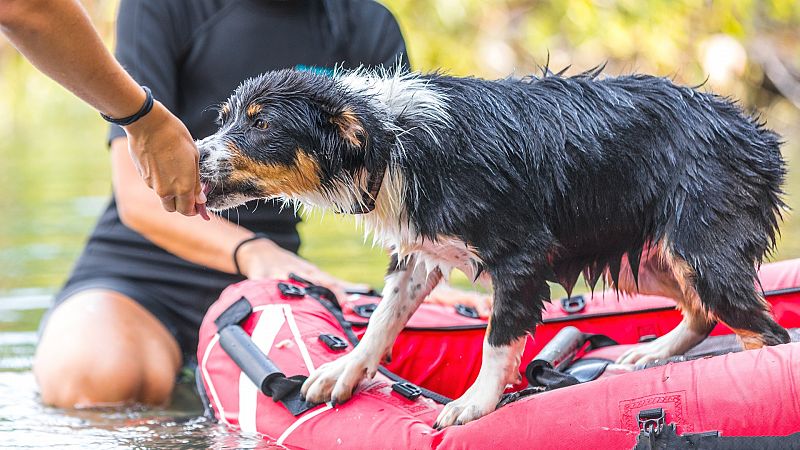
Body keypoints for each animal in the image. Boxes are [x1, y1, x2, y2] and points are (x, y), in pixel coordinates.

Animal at [198, 65, 788, 428]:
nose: (196, 153)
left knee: (767, 335)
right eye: (225, 118)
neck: (391, 141)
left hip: (697, 248)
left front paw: (475, 404)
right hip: (642, 254)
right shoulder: (421, 252)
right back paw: (649, 355)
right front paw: (346, 369)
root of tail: (758, 134)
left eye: (261, 124)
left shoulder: (520, 255)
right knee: (703, 313)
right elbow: (384, 317)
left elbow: (497, 339)